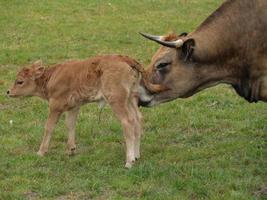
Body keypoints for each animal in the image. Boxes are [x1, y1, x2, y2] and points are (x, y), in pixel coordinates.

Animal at [6, 54, 165, 168]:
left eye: (20, 81)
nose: (8, 92)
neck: (52, 77)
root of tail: (124, 58)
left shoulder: (55, 106)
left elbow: (49, 127)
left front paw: (41, 151)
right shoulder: (73, 106)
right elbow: (70, 125)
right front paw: (71, 149)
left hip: (117, 100)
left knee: (127, 122)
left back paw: (129, 161)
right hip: (131, 98)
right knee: (138, 119)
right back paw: (136, 155)